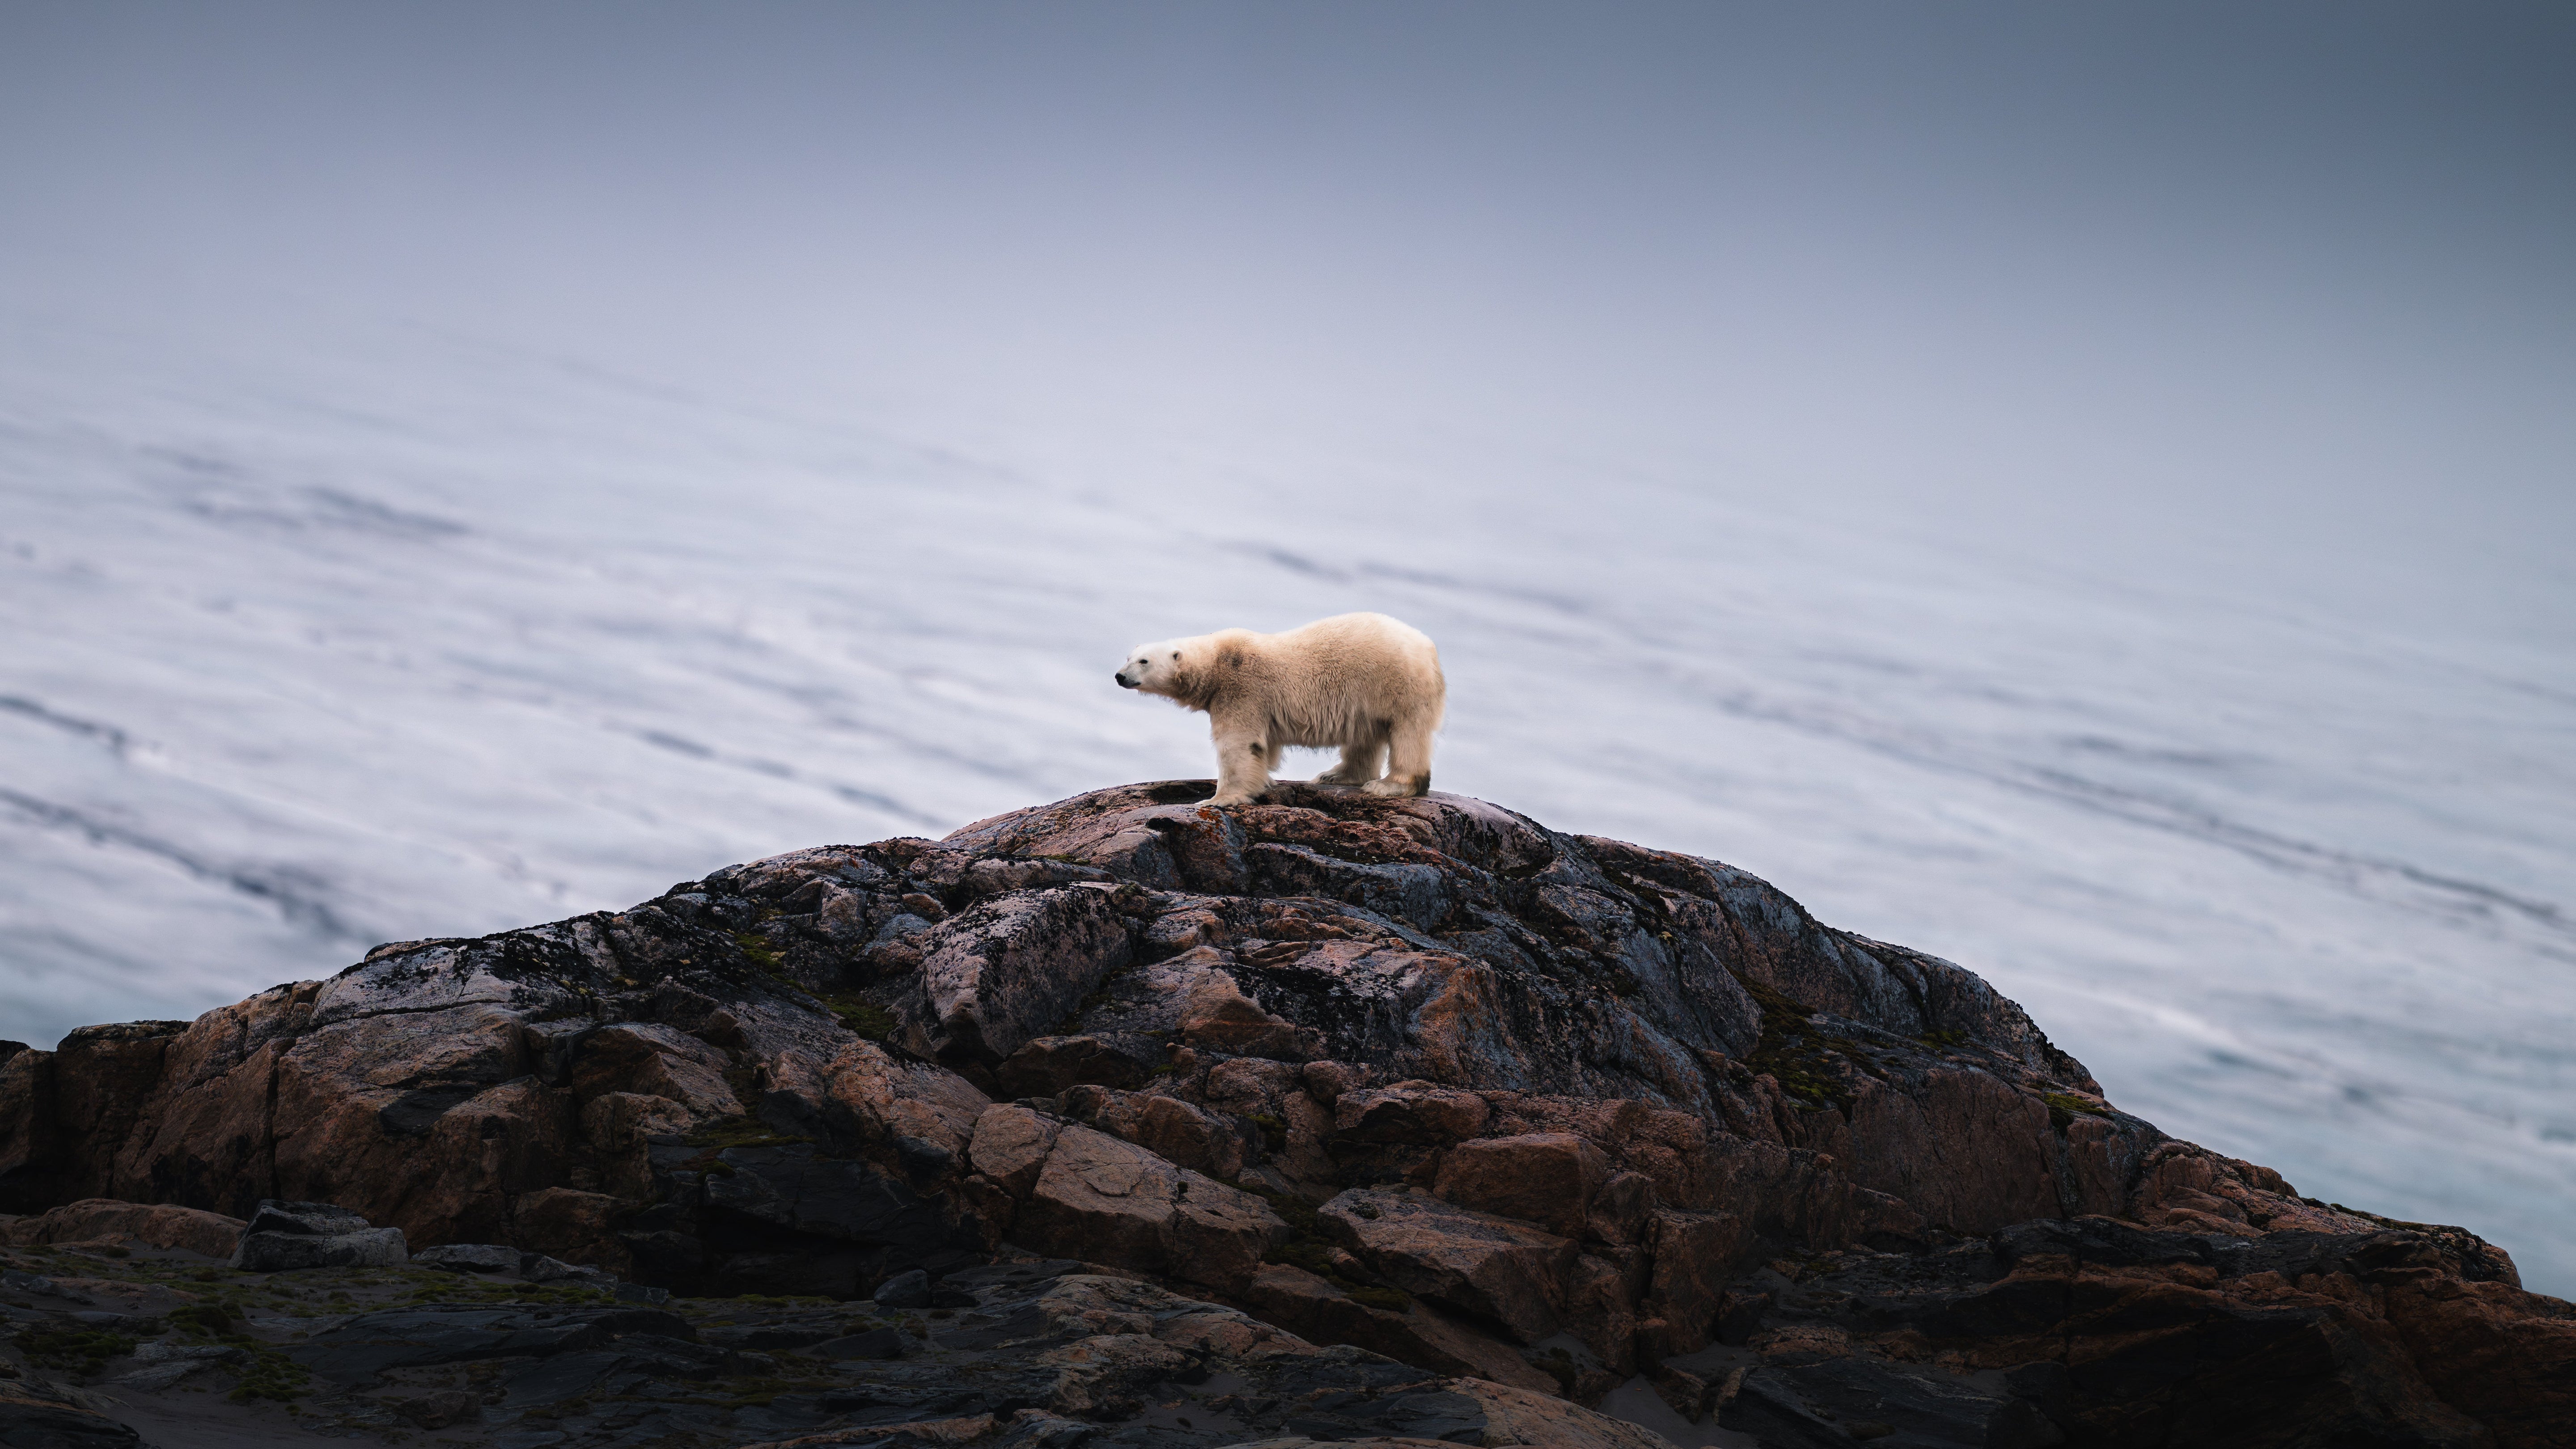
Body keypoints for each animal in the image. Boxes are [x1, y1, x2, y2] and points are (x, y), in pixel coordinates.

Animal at [1114, 612, 1445, 807]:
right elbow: (1266, 747)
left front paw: (1217, 800)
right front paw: (1266, 780)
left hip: (1397, 685)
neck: (1219, 661)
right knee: (1364, 737)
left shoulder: (1242, 689)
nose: (1119, 676)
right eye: (1129, 657)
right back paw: (1335, 776)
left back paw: (1389, 786)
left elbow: (1238, 744)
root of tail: (1430, 649)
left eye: (1144, 661)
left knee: (1407, 735)